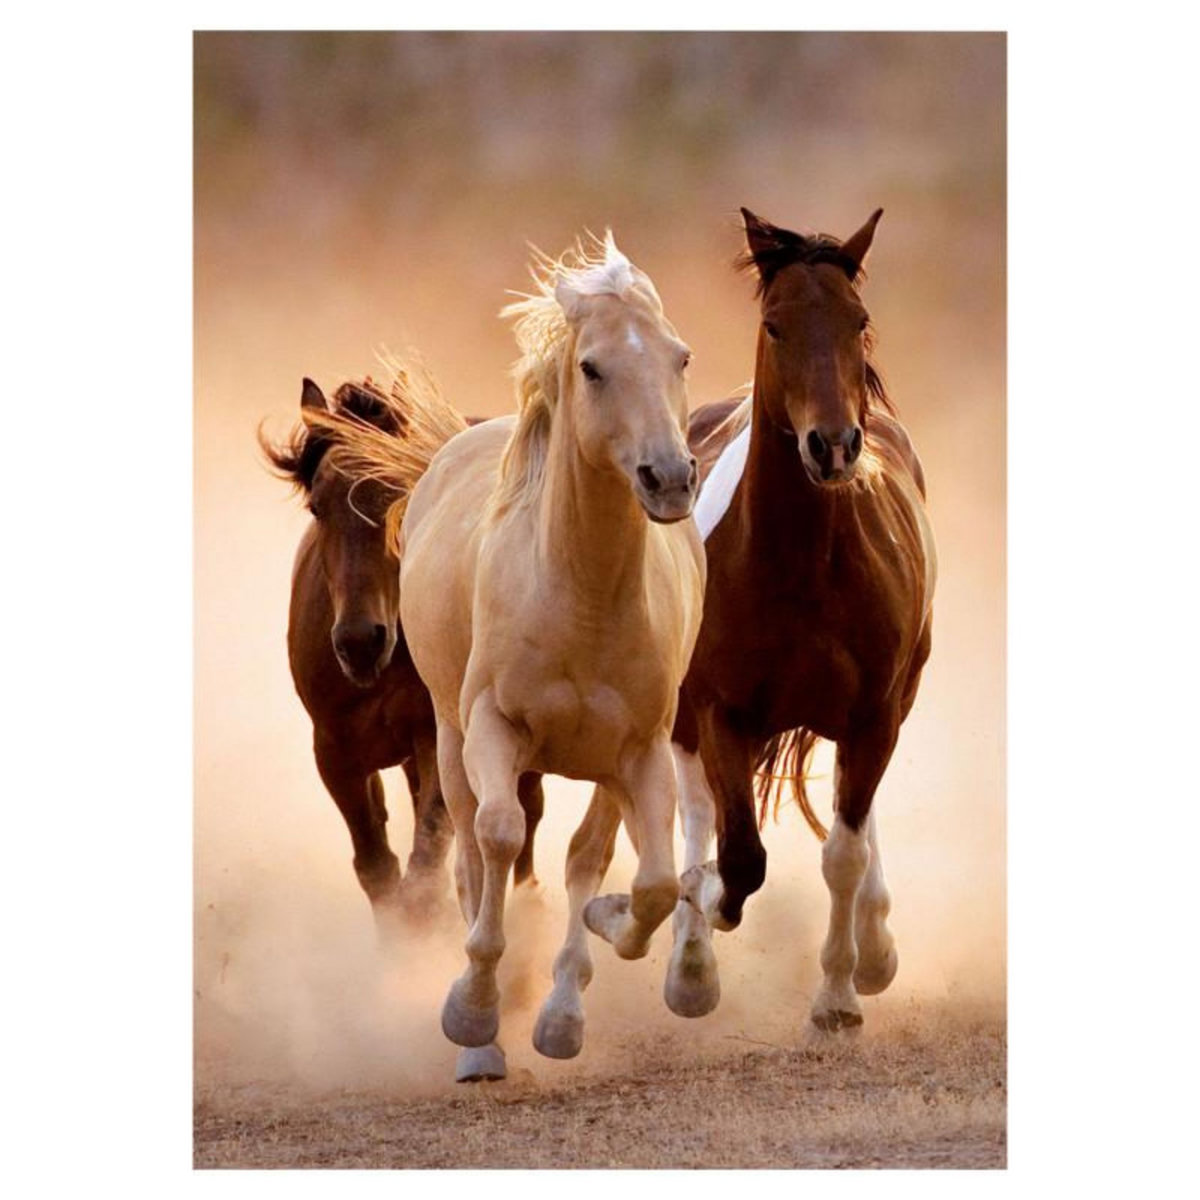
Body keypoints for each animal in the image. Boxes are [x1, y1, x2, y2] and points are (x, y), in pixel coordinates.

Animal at [259, 374, 545, 937]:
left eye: (400, 495)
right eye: (317, 507)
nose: (359, 642)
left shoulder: (437, 737)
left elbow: (426, 864)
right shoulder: (336, 752)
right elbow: (378, 868)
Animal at [389, 234, 705, 1081]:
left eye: (680, 357)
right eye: (592, 367)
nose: (670, 478)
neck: (580, 597)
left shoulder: (641, 752)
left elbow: (647, 881)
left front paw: (602, 933)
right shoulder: (493, 729)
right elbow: (498, 838)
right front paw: (472, 1011)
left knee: (585, 855)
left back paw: (560, 1009)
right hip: (449, 738)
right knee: (472, 854)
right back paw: (484, 1041)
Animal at [660, 208, 937, 1033]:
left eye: (859, 320)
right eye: (775, 325)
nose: (834, 445)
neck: (805, 565)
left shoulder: (875, 713)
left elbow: (843, 850)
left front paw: (841, 993)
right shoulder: (720, 711)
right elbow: (738, 855)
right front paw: (705, 915)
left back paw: (873, 949)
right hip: (684, 713)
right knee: (695, 811)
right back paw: (690, 963)